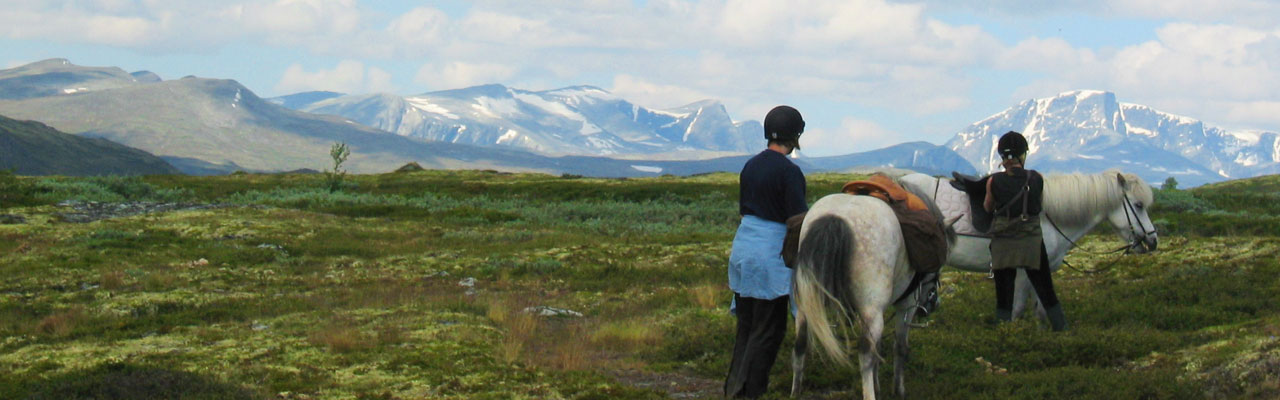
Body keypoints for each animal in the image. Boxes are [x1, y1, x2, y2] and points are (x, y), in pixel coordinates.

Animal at [790, 183, 957, 400]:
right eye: (938, 268)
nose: (933, 304)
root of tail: (836, 218)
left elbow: (880, 348)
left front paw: (878, 384)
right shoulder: (906, 306)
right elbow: (899, 348)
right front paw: (898, 390)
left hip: (806, 306)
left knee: (800, 343)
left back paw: (796, 391)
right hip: (872, 311)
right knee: (865, 355)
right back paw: (870, 394)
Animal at [898, 169, 1158, 318]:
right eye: (1138, 205)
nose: (1153, 240)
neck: (1048, 214)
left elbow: (1041, 310)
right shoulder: (1025, 269)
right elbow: (1018, 308)